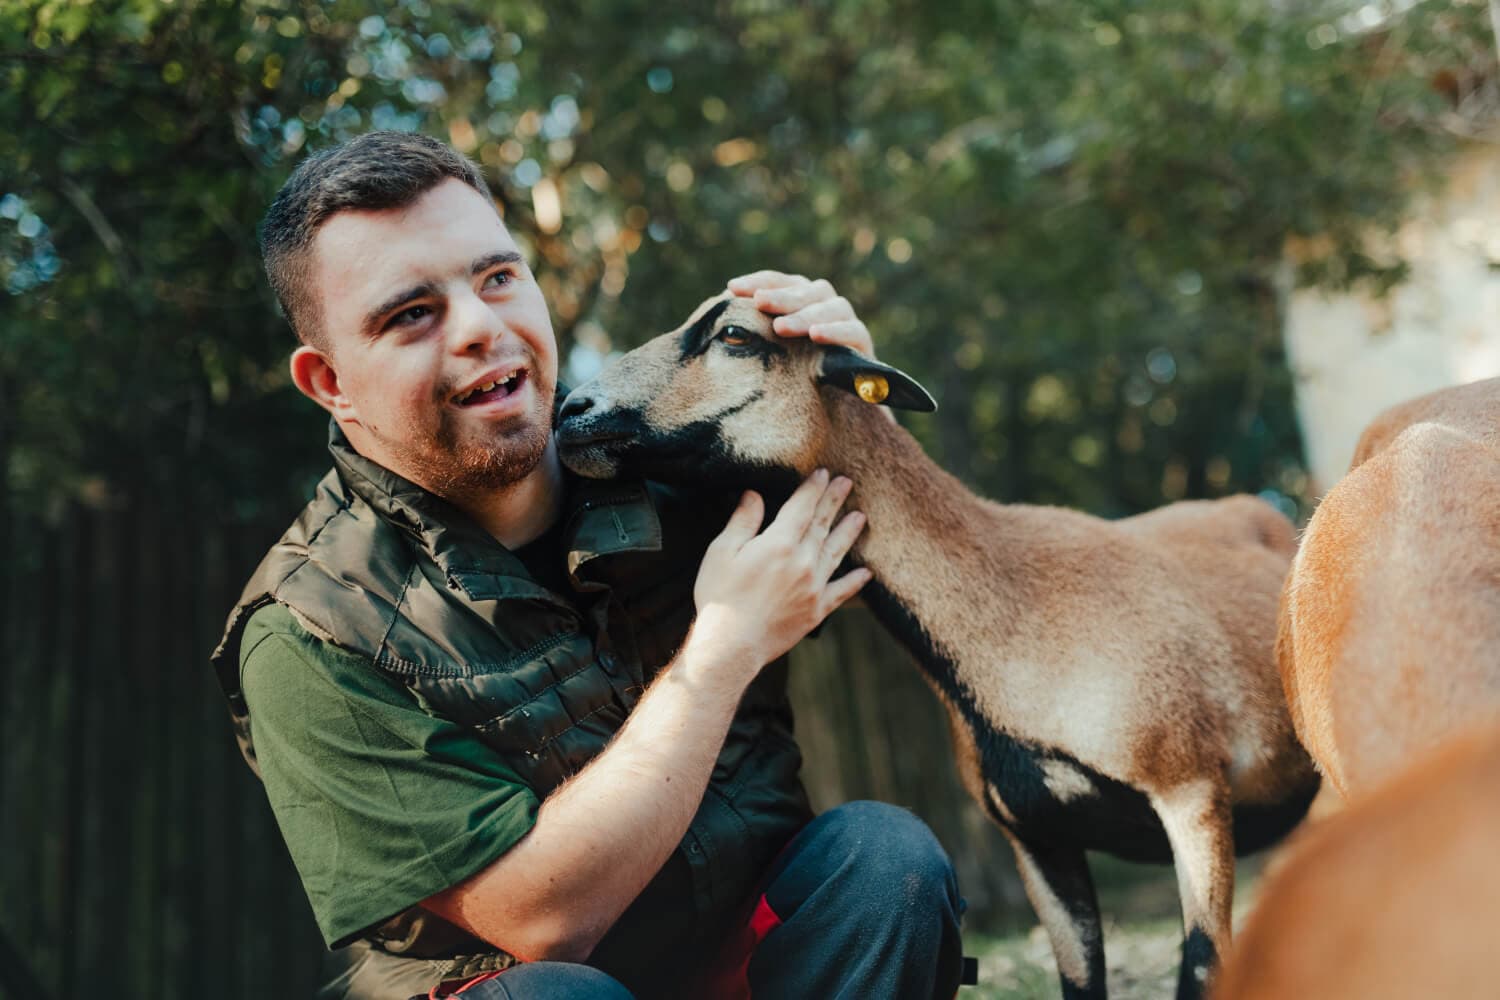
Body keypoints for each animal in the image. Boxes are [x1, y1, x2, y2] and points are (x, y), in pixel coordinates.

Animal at [558, 296, 1320, 1000]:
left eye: (736, 334)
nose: (572, 409)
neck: (1016, 616)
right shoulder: (1038, 837)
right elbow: (1080, 981)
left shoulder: (1191, 793)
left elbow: (1201, 968)